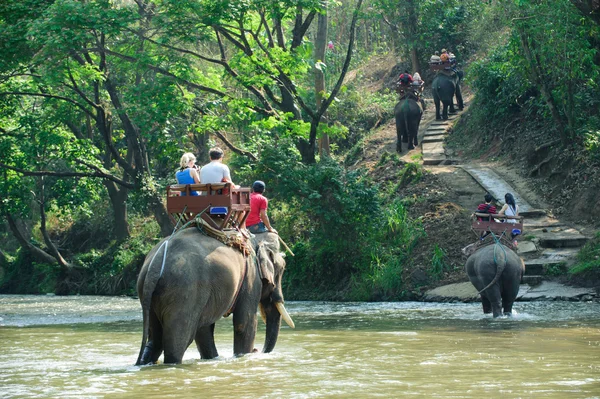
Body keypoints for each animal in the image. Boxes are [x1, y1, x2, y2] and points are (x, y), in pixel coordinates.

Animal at [136, 228, 296, 366]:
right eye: (282, 269)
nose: (257, 350)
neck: (256, 238)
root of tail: (154, 266)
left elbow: (203, 330)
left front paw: (213, 358)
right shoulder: (251, 278)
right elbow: (244, 323)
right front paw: (243, 355)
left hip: (152, 297)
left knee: (155, 340)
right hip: (183, 292)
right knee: (177, 340)